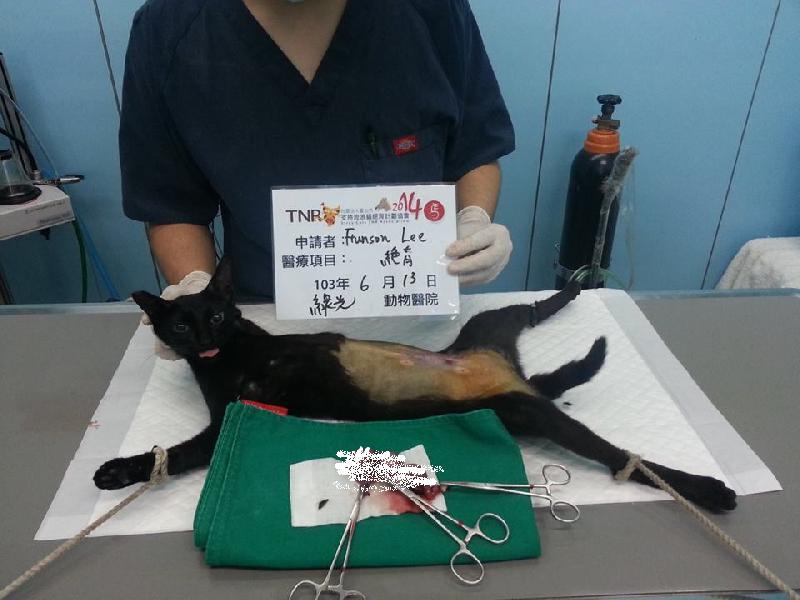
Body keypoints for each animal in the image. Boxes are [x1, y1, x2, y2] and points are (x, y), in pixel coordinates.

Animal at [94, 258, 736, 512]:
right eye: (181, 323)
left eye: (219, 313)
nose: (204, 332)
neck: (228, 360)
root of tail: (506, 369)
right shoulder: (229, 417)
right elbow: (174, 454)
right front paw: (120, 471)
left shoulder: (262, 368)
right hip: (501, 349)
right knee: (532, 316)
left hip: (516, 377)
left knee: (622, 454)